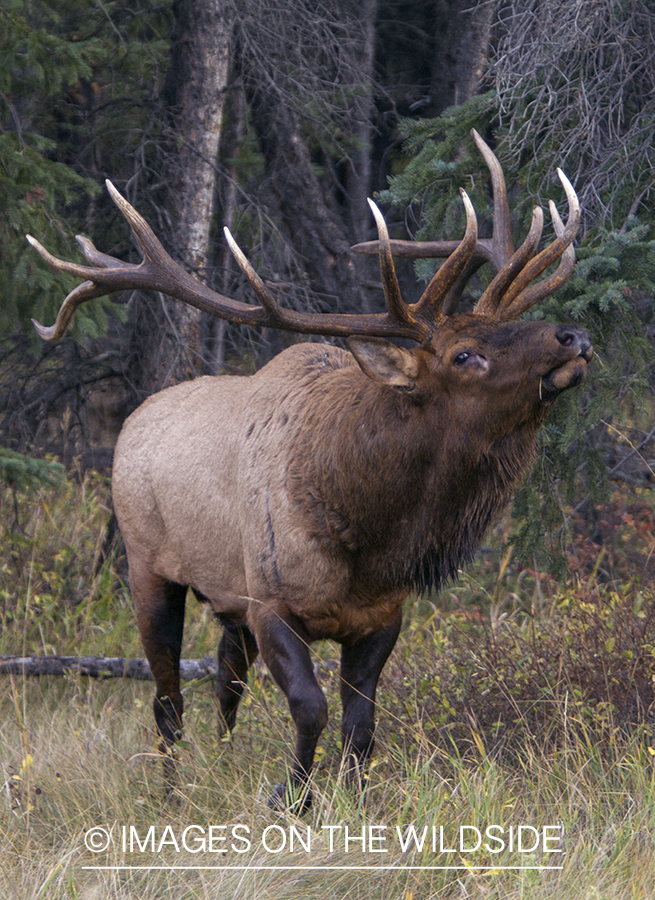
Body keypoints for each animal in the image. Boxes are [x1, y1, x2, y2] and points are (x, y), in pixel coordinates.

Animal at [28, 131, 592, 809]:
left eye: (508, 326)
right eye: (464, 354)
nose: (573, 336)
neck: (367, 531)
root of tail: (133, 420)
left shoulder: (380, 614)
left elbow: (361, 723)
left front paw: (350, 798)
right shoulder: (271, 601)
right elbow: (310, 707)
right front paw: (291, 797)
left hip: (227, 596)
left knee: (226, 682)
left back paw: (223, 759)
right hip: (147, 567)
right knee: (167, 700)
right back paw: (170, 793)